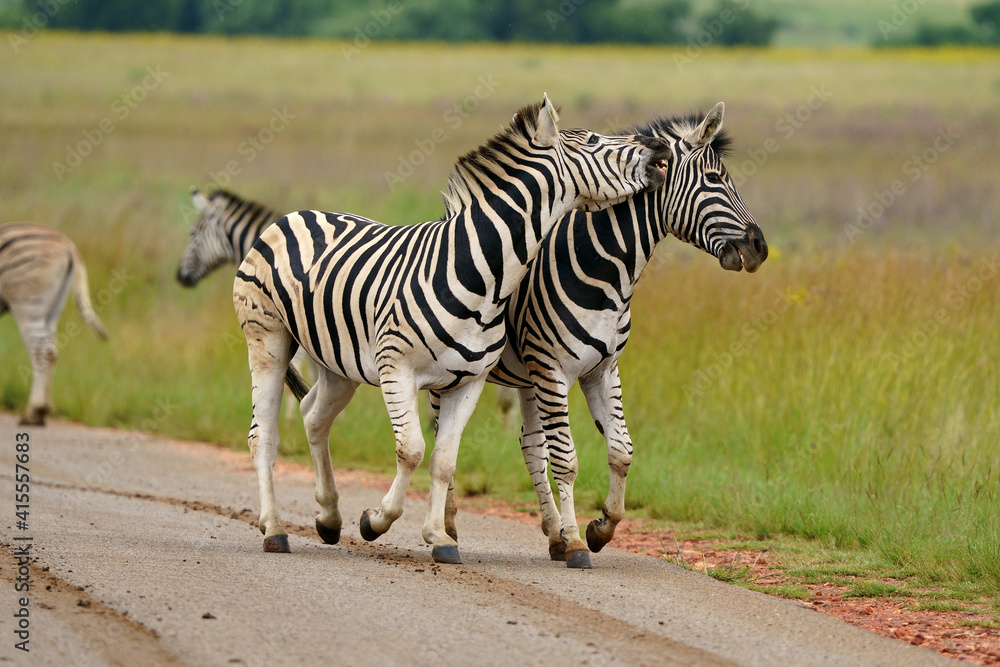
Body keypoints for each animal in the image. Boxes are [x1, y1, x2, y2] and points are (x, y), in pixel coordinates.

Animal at [0, 223, 107, 425]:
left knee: (41, 351)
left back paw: (34, 411)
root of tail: (69, 246)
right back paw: (41, 411)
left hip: (27, 304)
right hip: (52, 309)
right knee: (52, 350)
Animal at [234, 95, 671, 564]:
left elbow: (443, 460)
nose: (659, 147)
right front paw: (375, 522)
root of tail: (296, 214)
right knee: (263, 436)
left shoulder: (469, 380)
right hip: (267, 341)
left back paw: (329, 518)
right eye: (591, 141)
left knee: (314, 418)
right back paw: (275, 530)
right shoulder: (396, 368)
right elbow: (411, 450)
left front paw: (439, 539)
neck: (479, 271)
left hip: (337, 363)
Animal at [434, 103, 768, 568]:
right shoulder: (554, 369)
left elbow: (621, 450)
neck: (605, 270)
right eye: (716, 179)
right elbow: (567, 460)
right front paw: (578, 543)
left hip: (527, 375)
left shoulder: (602, 369)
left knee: (529, 445)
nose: (760, 248)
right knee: (445, 438)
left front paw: (600, 528)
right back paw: (448, 528)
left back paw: (552, 532)